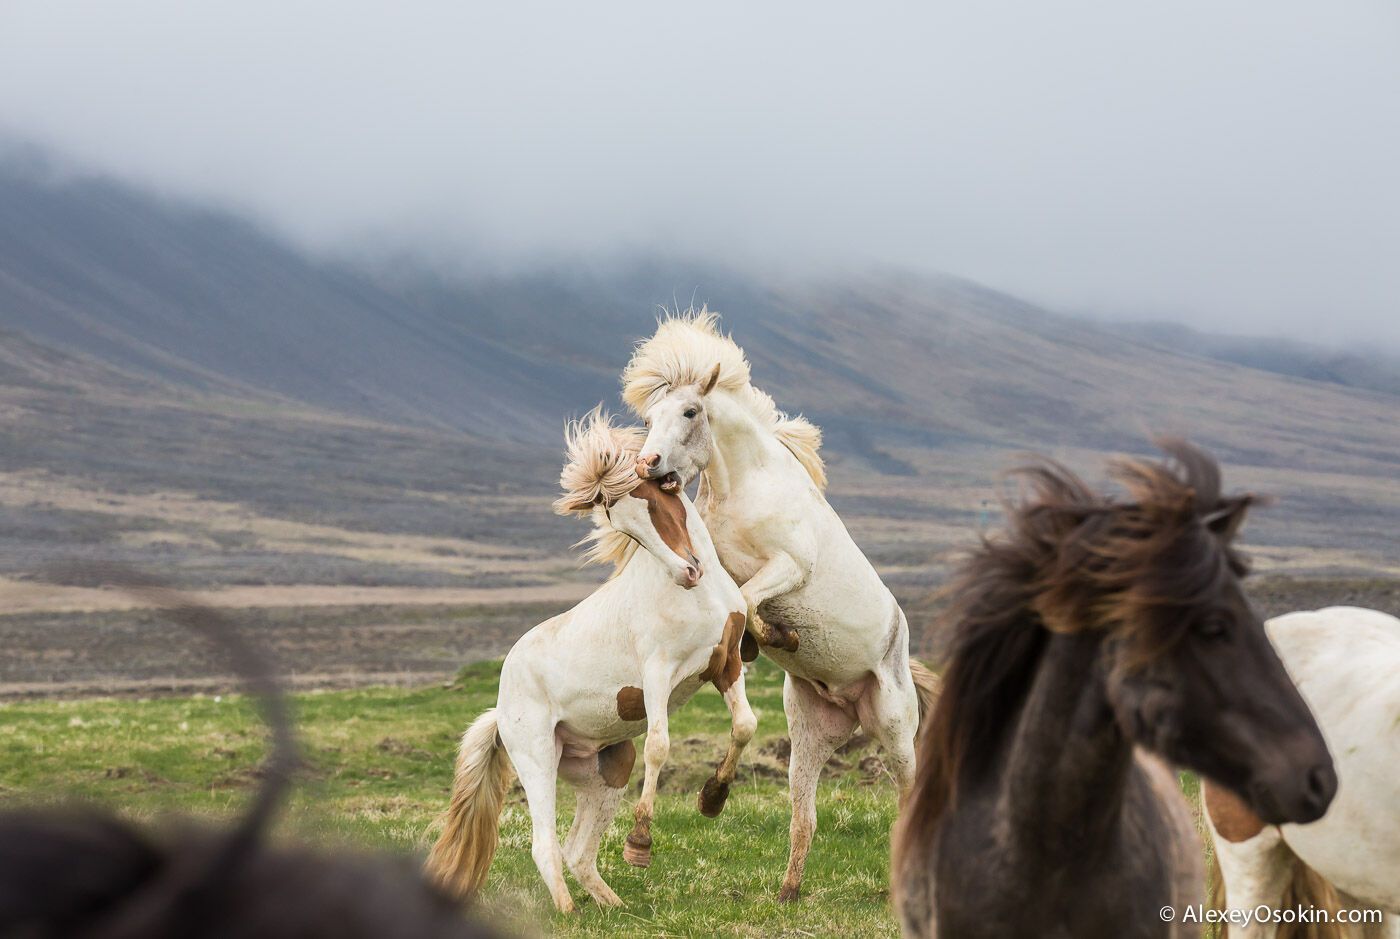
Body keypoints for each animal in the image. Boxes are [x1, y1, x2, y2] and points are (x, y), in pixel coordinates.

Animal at [422, 408, 756, 912]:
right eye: (626, 528)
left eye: (660, 498)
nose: (686, 572)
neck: (700, 598)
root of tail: (500, 706)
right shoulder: (658, 674)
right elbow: (660, 746)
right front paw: (639, 847)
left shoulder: (725, 665)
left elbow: (744, 726)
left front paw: (712, 799)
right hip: (538, 759)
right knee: (545, 844)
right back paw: (567, 910)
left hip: (606, 769)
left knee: (578, 850)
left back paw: (614, 906)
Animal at [627, 310, 940, 901]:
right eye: (649, 415)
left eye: (690, 411)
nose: (646, 464)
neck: (744, 488)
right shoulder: (717, 568)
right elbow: (739, 604)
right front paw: (766, 641)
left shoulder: (790, 566)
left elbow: (751, 601)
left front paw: (777, 637)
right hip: (809, 734)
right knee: (803, 815)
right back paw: (780, 881)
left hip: (895, 731)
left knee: (908, 797)